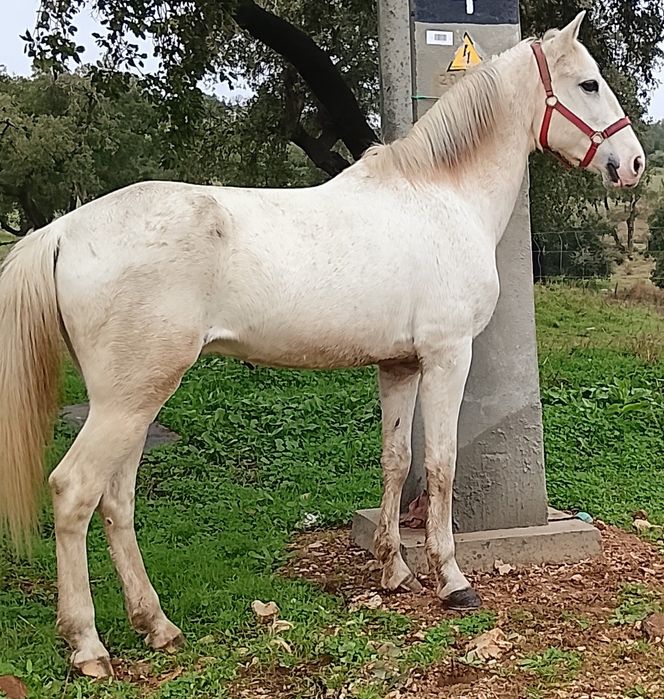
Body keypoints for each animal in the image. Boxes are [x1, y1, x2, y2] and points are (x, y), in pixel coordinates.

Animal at [0, 12, 644, 678]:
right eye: (589, 84)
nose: (633, 163)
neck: (442, 196)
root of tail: (62, 231)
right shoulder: (447, 356)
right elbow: (441, 464)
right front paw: (450, 579)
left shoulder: (399, 366)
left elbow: (397, 461)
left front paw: (394, 570)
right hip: (128, 400)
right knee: (74, 492)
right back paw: (87, 647)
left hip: (133, 401)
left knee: (117, 501)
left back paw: (156, 625)